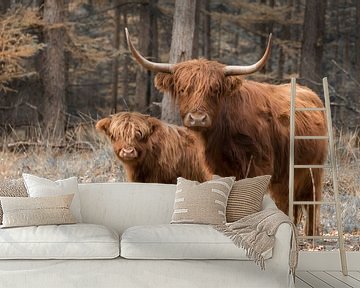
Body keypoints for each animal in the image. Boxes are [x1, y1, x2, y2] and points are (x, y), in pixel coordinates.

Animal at [125, 28, 328, 234]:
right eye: (182, 89)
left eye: (214, 90)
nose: (197, 118)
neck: (224, 138)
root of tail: (310, 93)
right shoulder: (216, 169)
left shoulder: (259, 166)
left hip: (312, 170)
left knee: (308, 204)